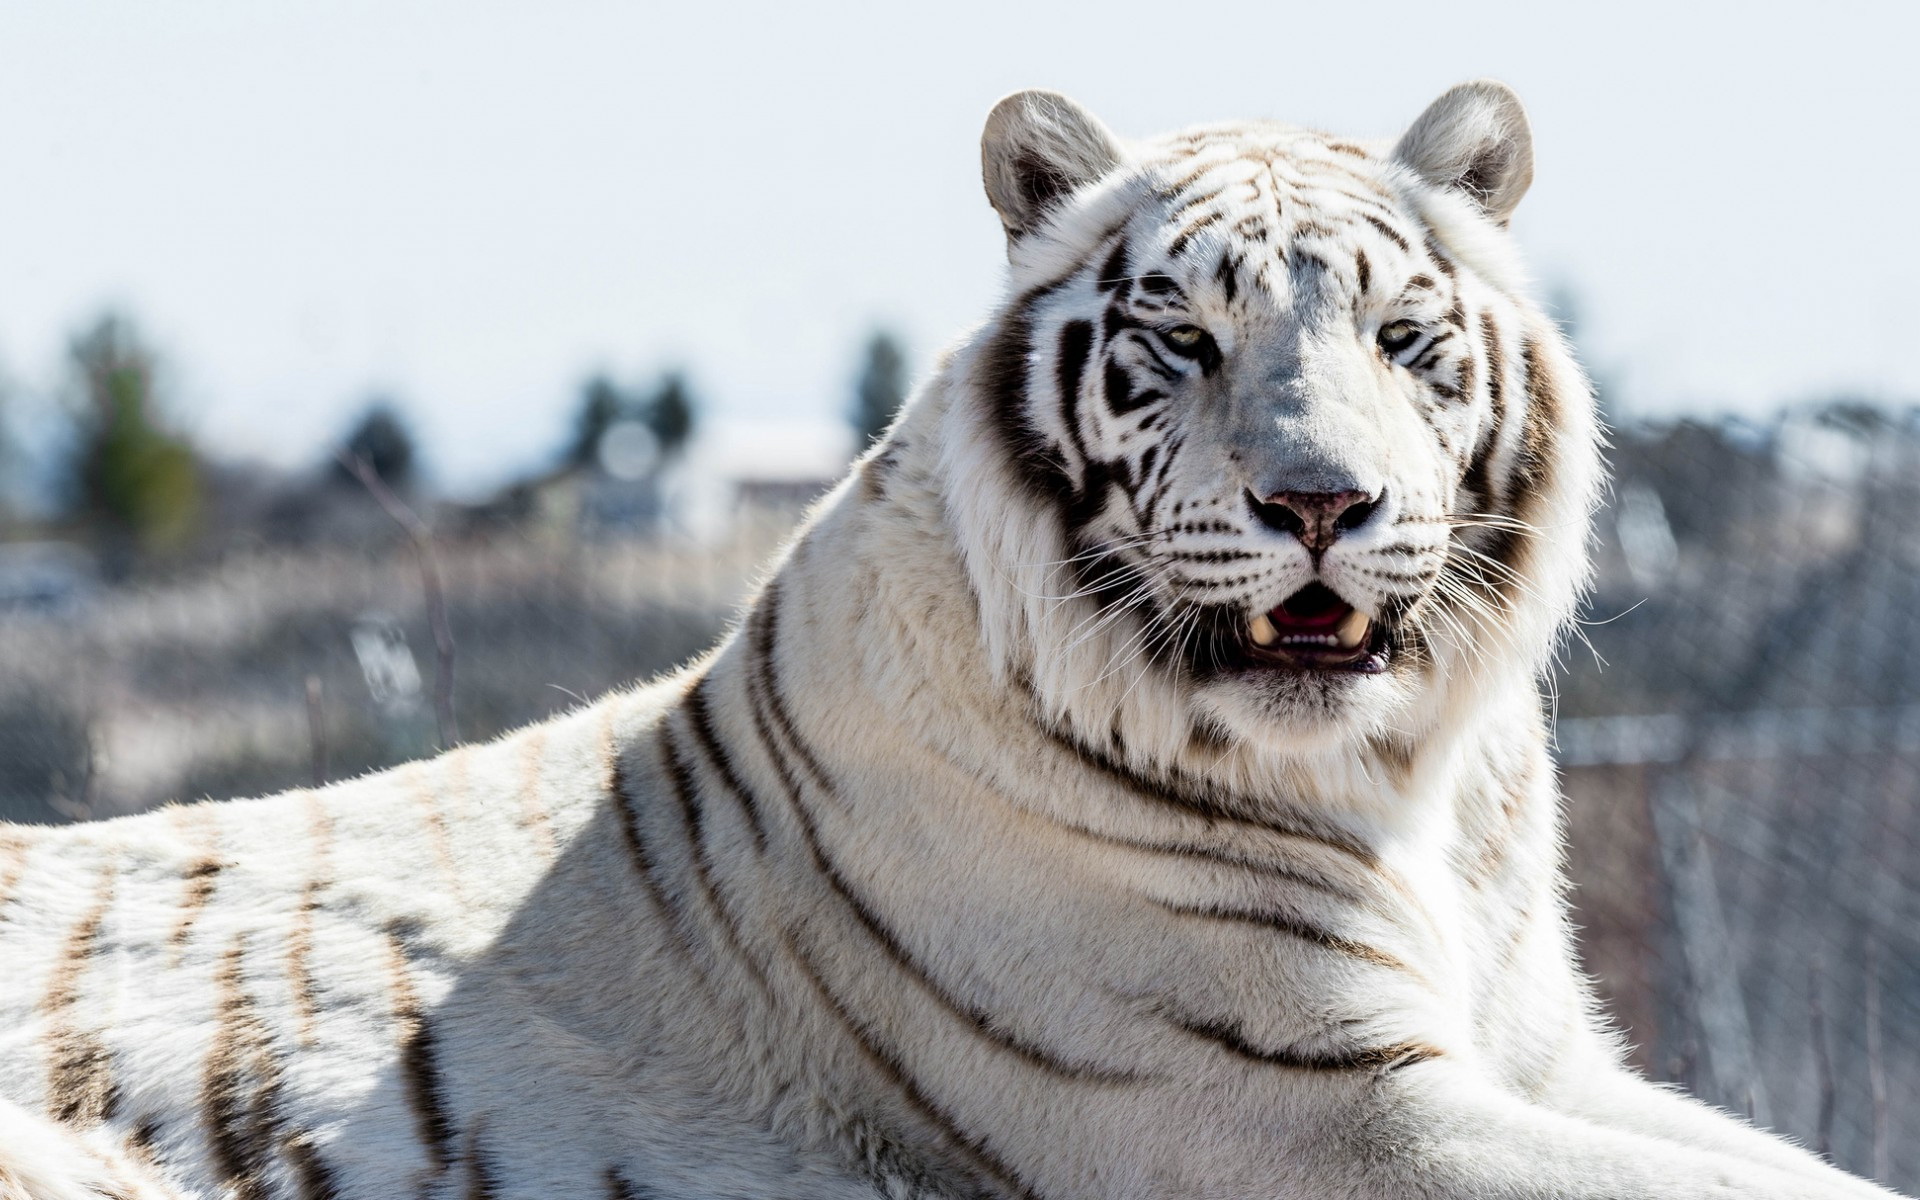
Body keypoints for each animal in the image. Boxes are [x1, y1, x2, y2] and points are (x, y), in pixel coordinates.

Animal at [0, 79, 1904, 1190]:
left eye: (1401, 338)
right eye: (1185, 340)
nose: (1321, 502)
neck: (1409, 787)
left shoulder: (1547, 1057)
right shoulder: (1324, 1107)